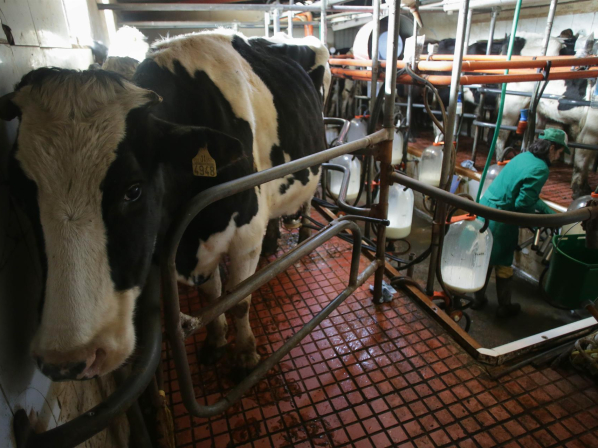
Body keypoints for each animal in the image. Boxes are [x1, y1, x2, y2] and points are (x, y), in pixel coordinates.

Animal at [0, 30, 330, 381]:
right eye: (19, 193)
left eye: (133, 190)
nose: (69, 358)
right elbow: (212, 296)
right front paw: (215, 341)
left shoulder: (245, 237)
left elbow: (239, 299)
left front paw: (245, 355)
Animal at [493, 32, 598, 197]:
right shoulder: (592, 122)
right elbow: (585, 153)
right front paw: (580, 189)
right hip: (512, 102)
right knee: (501, 135)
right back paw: (500, 160)